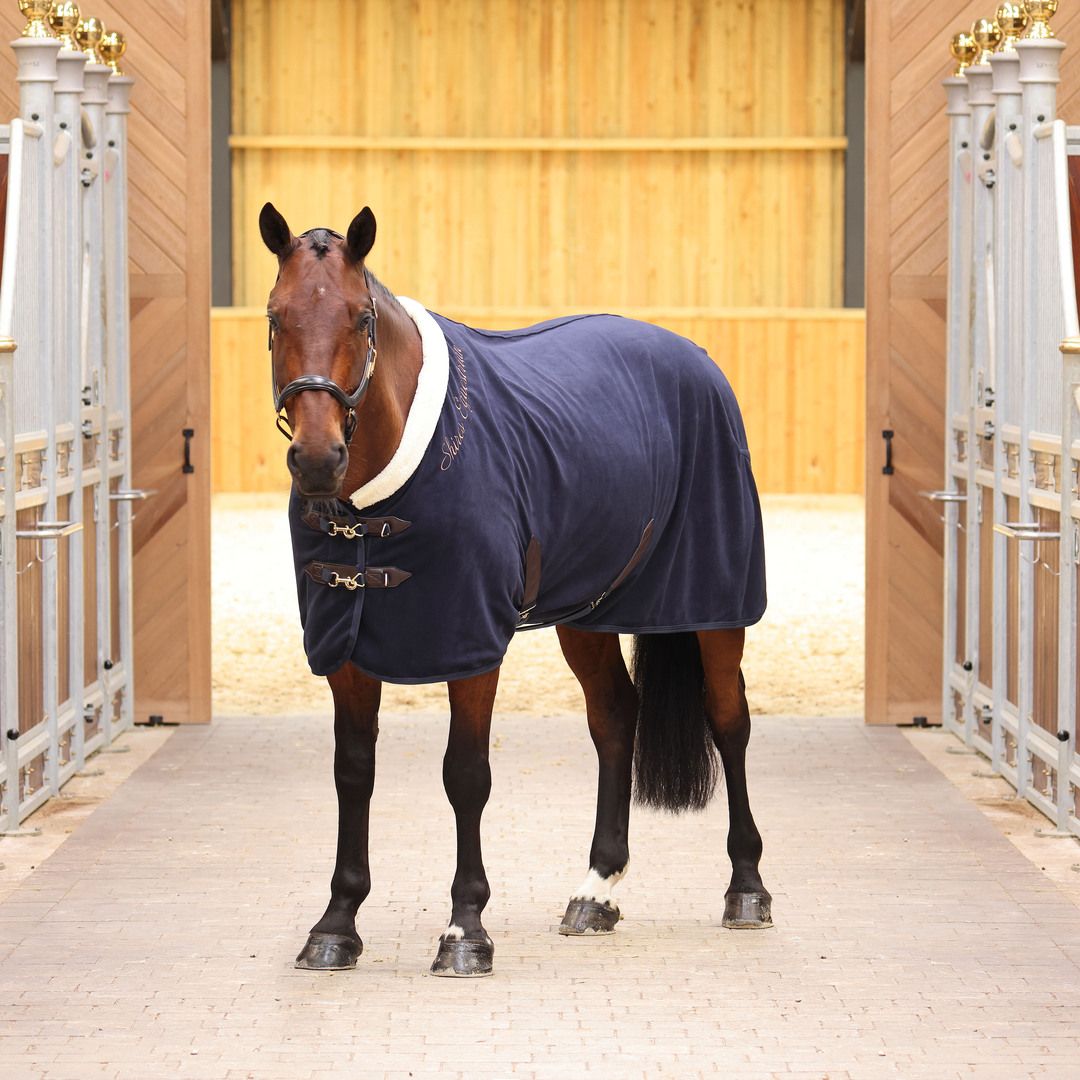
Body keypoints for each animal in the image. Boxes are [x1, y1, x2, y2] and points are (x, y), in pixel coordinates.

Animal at [260, 201, 772, 977]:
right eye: (276, 316)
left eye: (359, 317)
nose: (318, 459)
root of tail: (695, 359)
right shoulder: (343, 649)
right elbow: (354, 773)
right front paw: (337, 923)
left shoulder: (471, 643)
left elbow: (466, 774)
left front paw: (465, 929)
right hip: (587, 613)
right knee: (615, 716)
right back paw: (597, 890)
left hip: (714, 607)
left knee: (728, 720)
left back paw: (746, 887)